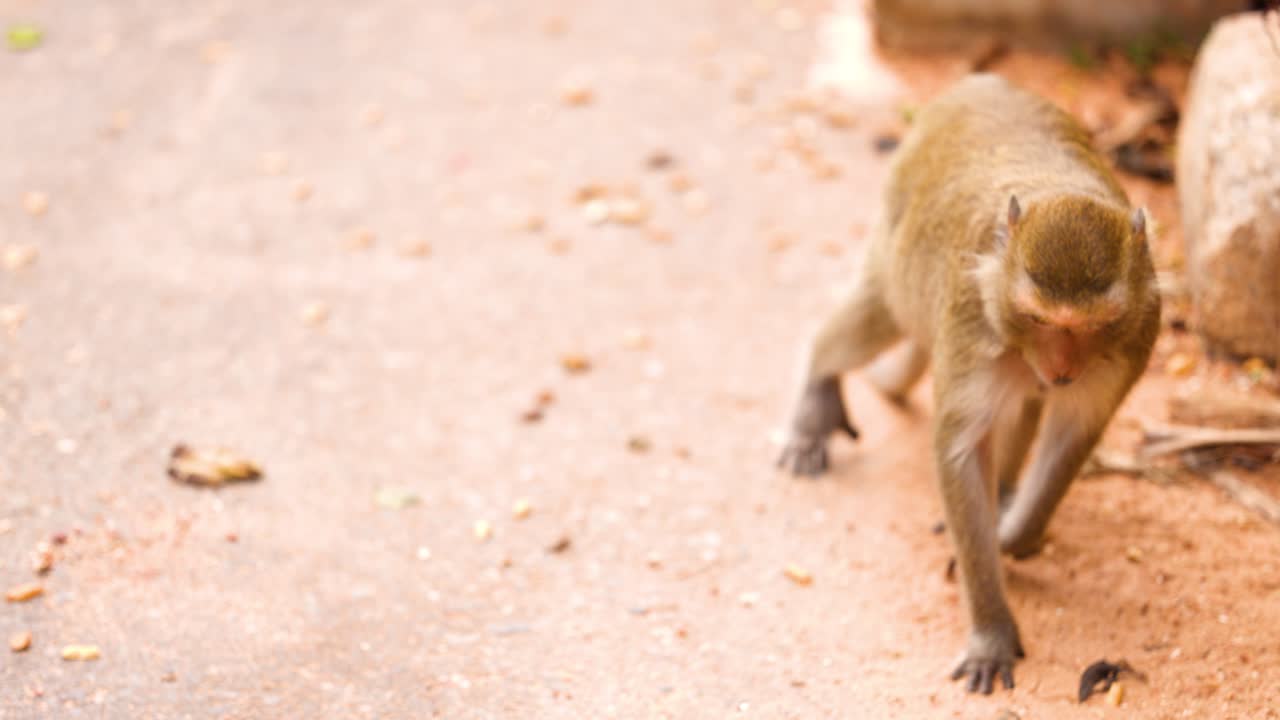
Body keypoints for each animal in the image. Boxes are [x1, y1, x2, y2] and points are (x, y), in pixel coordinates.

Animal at [776, 74, 1160, 694]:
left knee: (1026, 403)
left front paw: (1011, 536)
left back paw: (1005, 492)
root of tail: (978, 83)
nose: (1061, 368)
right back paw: (816, 395)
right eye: (1039, 319)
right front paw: (991, 626)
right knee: (876, 319)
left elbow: (1072, 433)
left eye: (1093, 325)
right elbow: (960, 453)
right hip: (900, 236)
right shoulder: (971, 323)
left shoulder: (1132, 339)